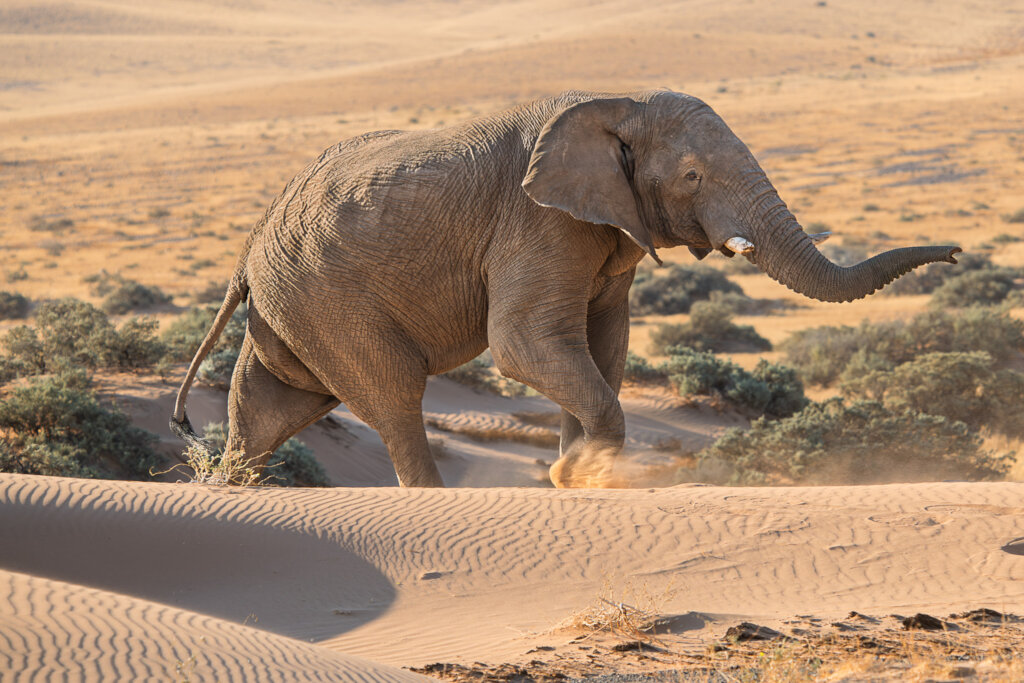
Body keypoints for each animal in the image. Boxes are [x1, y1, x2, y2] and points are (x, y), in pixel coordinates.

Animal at [171, 89, 960, 488]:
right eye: (693, 176)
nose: (954, 252)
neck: (618, 106)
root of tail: (248, 249)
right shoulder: (537, 219)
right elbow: (523, 345)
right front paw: (584, 473)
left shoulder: (605, 229)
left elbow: (603, 346)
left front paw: (573, 472)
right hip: (327, 299)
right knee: (393, 399)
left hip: (293, 304)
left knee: (264, 413)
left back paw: (227, 490)